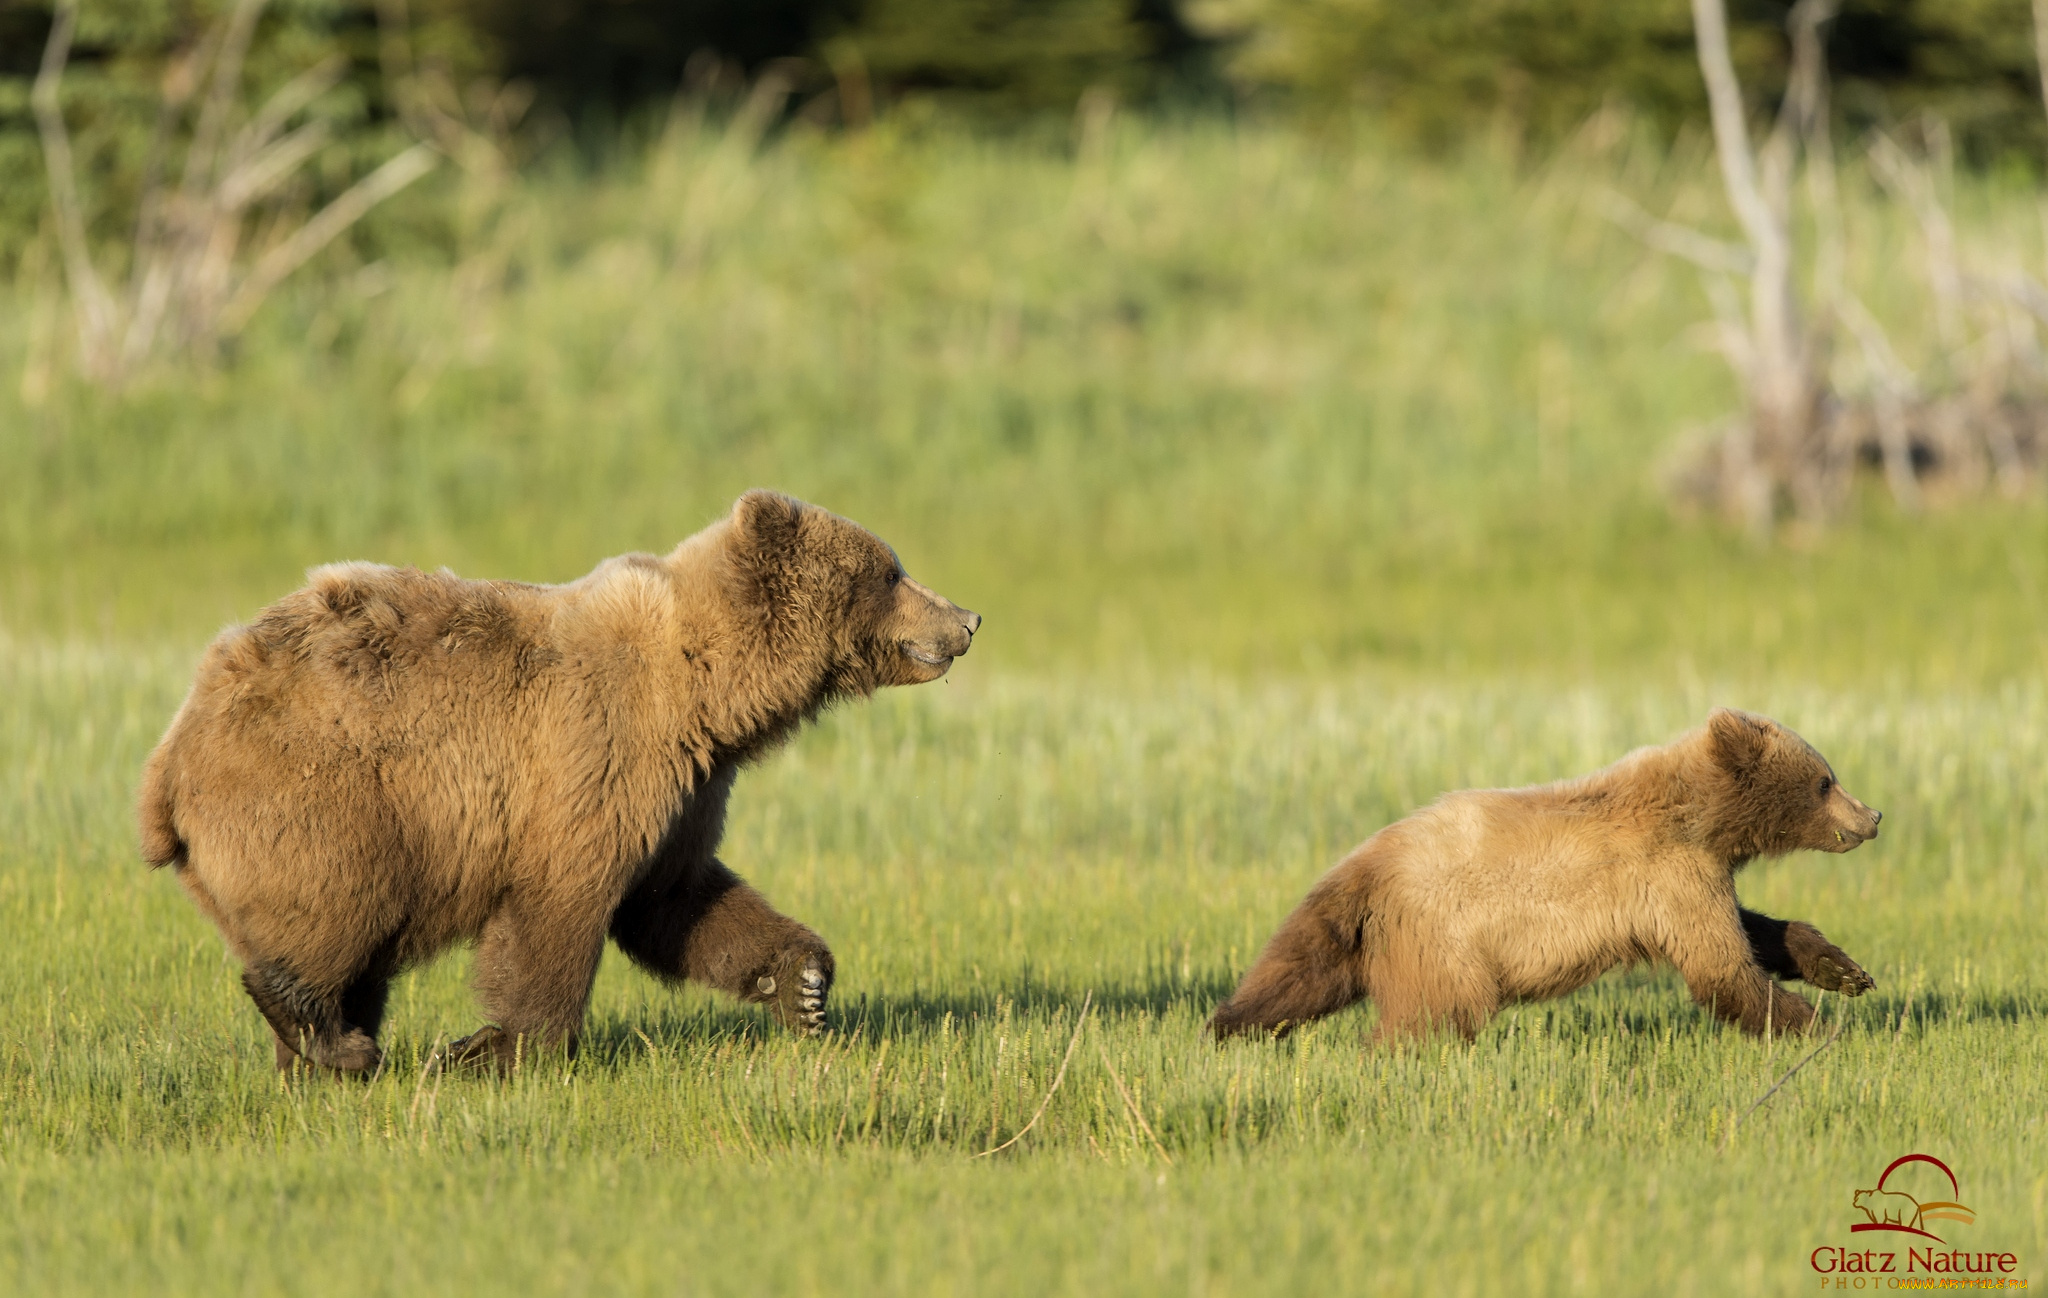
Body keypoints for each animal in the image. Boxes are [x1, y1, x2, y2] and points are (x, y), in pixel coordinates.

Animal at [140, 489, 978, 1064]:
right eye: (891, 571)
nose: (967, 619)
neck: (704, 691)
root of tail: (169, 759)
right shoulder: (594, 750)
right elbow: (560, 906)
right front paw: (502, 1049)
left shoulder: (689, 786)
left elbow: (679, 898)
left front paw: (803, 987)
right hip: (327, 793)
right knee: (339, 910)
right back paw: (330, 1036)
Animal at [1204, 708, 1875, 1040]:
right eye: (1826, 780)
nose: (1873, 815)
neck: (1701, 820)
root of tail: (1366, 862)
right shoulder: (1669, 873)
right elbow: (1724, 969)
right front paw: (1819, 1029)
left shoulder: (1694, 875)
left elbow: (1754, 930)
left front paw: (1843, 971)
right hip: (1443, 941)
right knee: (1435, 1017)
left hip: (1359, 936)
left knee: (1296, 977)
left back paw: (1229, 1026)